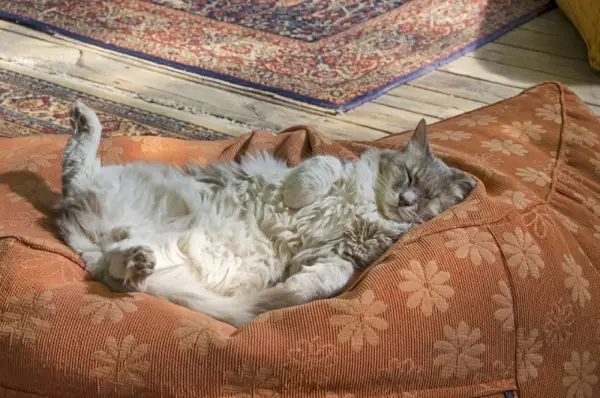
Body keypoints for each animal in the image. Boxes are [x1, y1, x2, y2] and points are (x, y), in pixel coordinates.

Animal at [56, 101, 476, 328]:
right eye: (409, 177)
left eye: (427, 198)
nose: (406, 200)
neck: (369, 207)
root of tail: (87, 237)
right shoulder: (324, 168)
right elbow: (318, 173)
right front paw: (297, 196)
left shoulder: (341, 257)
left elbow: (326, 279)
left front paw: (291, 290)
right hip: (110, 188)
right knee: (76, 168)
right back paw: (84, 116)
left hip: (159, 258)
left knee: (123, 266)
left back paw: (136, 259)